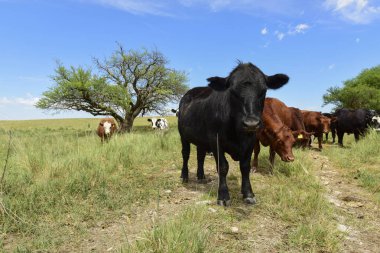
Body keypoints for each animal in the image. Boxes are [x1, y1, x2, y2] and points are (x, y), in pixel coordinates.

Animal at [177, 61, 288, 206]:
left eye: (263, 91)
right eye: (232, 91)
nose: (251, 123)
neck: (238, 134)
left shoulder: (251, 141)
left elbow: (245, 167)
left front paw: (248, 193)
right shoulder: (215, 141)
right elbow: (223, 167)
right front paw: (223, 196)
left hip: (201, 139)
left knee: (200, 156)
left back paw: (201, 176)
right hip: (183, 135)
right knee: (185, 154)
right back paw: (184, 176)